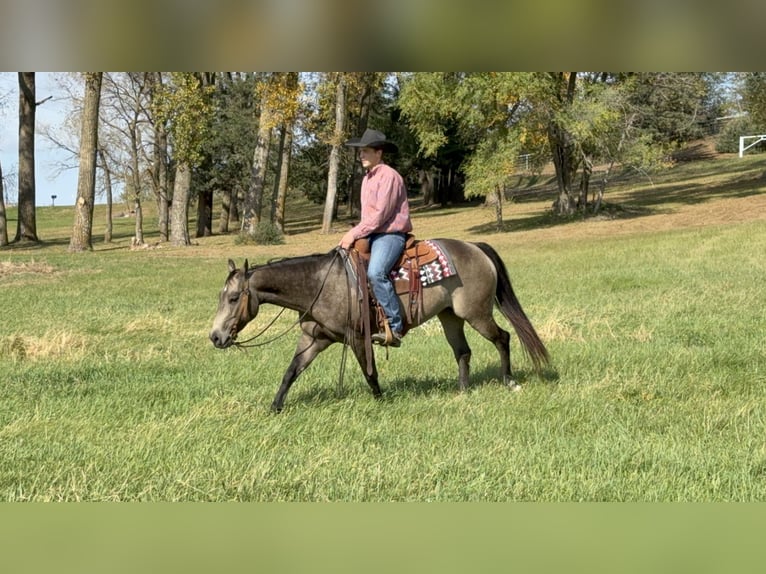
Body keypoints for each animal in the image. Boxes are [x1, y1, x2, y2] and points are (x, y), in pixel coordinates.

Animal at [209, 239, 550, 412]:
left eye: (234, 297)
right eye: (220, 296)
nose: (216, 337)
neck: (320, 283)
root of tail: (476, 248)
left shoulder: (356, 337)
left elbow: (369, 372)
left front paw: (381, 402)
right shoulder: (314, 338)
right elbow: (291, 372)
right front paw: (275, 407)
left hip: (476, 313)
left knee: (503, 338)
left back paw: (509, 381)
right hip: (450, 316)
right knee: (463, 352)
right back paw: (462, 391)